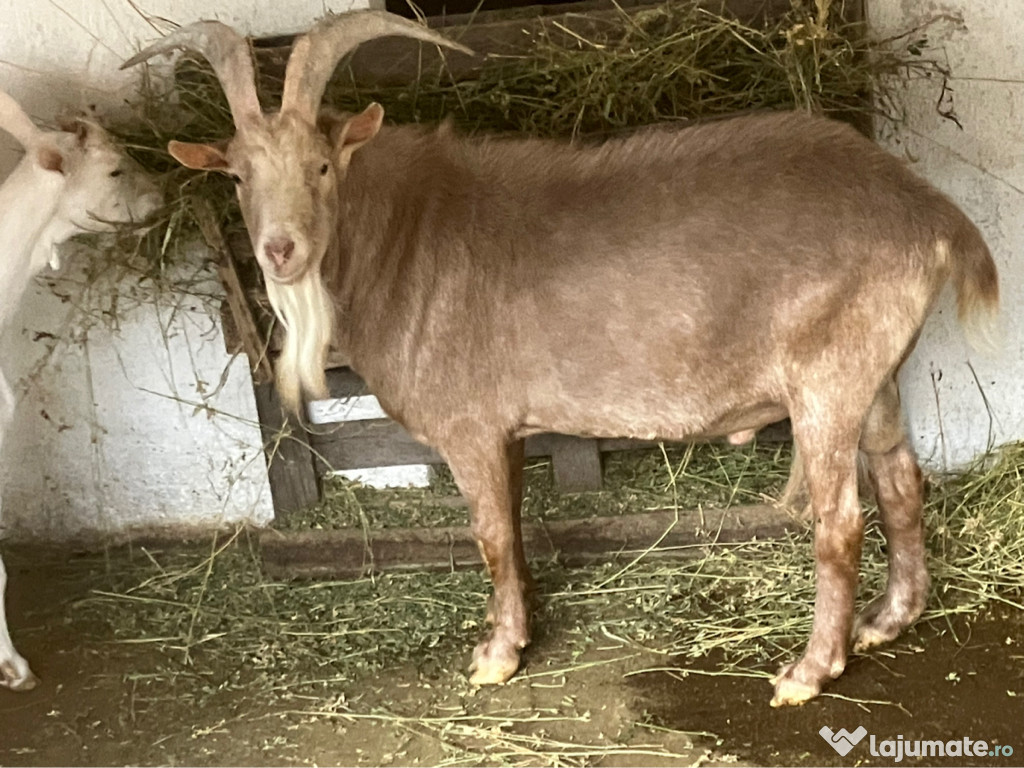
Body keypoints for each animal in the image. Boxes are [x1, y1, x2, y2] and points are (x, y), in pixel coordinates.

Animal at [125, 12, 999, 708]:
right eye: (239, 176)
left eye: (322, 166)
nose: (281, 250)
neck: (403, 239)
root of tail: (931, 214)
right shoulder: (506, 428)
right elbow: (512, 523)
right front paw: (512, 631)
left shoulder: (470, 424)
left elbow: (489, 532)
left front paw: (494, 657)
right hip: (877, 370)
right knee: (900, 478)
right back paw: (890, 620)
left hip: (829, 375)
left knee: (840, 520)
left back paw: (809, 671)